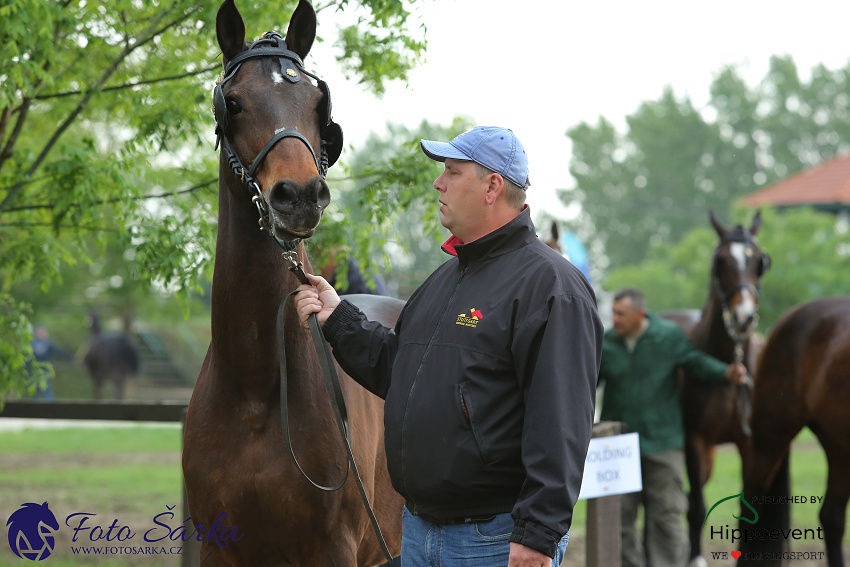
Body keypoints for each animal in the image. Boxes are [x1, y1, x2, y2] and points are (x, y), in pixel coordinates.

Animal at [180, 2, 404, 564]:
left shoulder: (333, 548)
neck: (257, 389)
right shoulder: (219, 546)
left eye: (317, 103)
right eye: (234, 103)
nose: (299, 195)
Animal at [660, 212, 772, 567]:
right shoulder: (694, 440)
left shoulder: (750, 443)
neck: (726, 365)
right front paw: (695, 558)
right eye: (721, 261)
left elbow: (746, 507)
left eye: (759, 261)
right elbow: (695, 507)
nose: (743, 317)